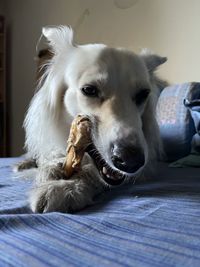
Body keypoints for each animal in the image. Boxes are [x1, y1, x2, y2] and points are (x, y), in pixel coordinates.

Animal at [16, 25, 167, 214]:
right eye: (89, 90)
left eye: (143, 94)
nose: (131, 162)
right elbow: (49, 161)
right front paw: (50, 171)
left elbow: (91, 174)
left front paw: (66, 188)